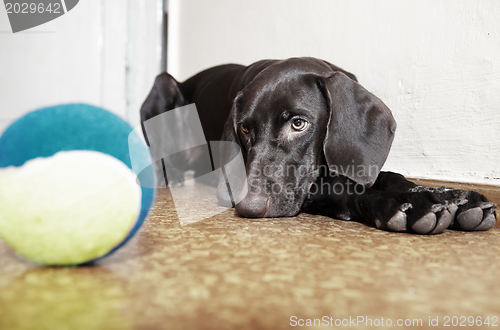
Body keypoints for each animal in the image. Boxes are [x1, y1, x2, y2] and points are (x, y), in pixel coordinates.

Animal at [141, 57, 496, 235]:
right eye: (244, 129)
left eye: (299, 124)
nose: (248, 207)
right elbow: (342, 190)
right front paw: (403, 205)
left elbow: (387, 176)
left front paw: (455, 197)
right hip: (162, 84)